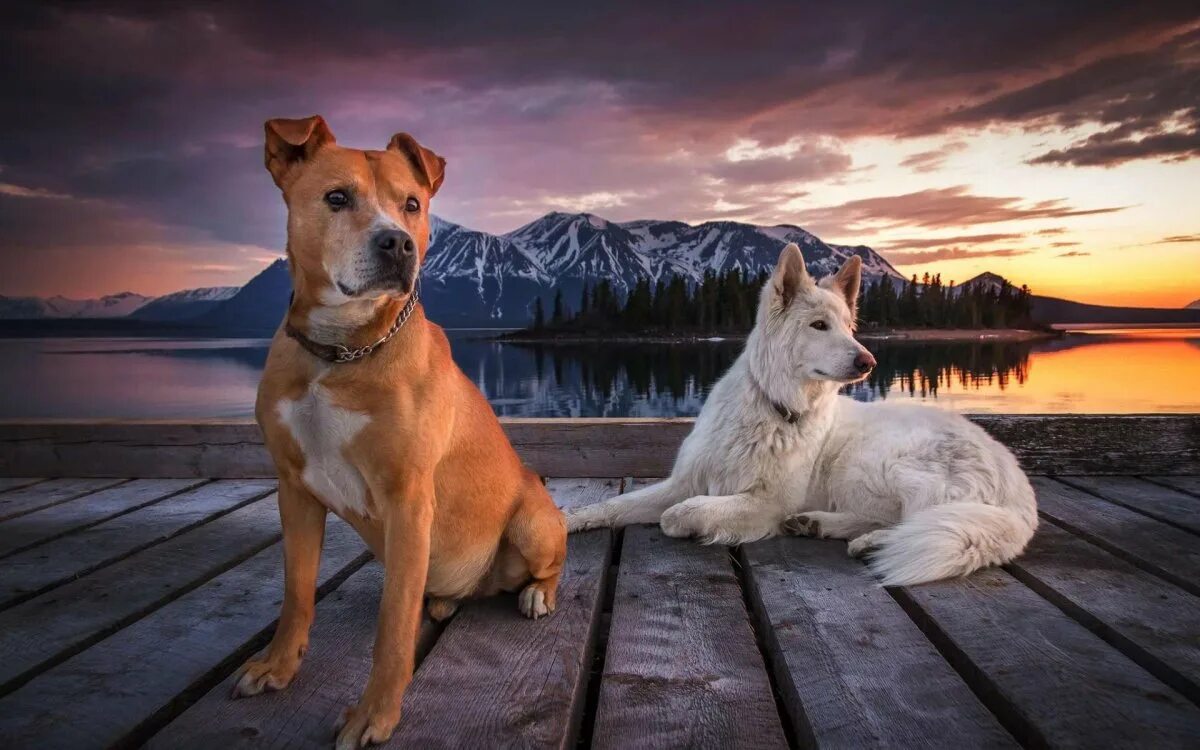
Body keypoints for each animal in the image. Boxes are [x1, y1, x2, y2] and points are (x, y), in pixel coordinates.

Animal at [241, 114, 568, 744]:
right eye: (336, 198)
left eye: (412, 203)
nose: (397, 242)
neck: (341, 351)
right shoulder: (294, 489)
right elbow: (297, 592)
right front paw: (278, 664)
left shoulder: (408, 499)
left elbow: (393, 627)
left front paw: (376, 713)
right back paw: (440, 604)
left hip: (535, 520)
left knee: (549, 565)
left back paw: (536, 594)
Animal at [566, 246, 1036, 585]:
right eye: (819, 325)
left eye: (849, 327)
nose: (869, 361)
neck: (773, 407)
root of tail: (1019, 495)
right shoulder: (684, 481)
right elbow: (615, 505)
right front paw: (571, 520)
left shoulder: (766, 502)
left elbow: (676, 515)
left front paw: (689, 525)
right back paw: (819, 524)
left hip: (878, 462)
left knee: (919, 521)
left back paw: (872, 541)